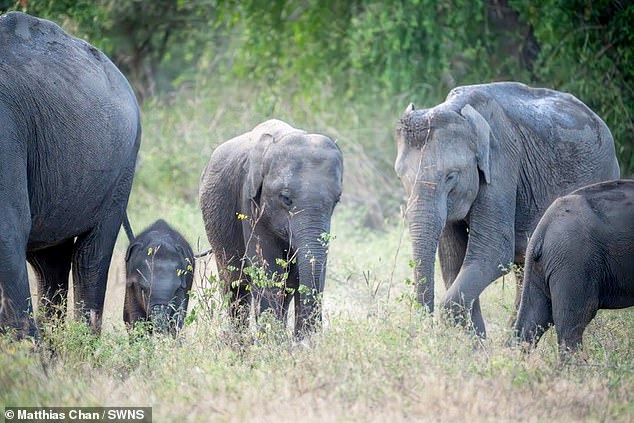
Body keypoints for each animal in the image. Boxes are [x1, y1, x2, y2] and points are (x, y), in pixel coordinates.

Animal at [392, 81, 620, 336]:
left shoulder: (501, 163)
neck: (457, 109)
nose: (425, 330)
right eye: (400, 176)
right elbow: (453, 260)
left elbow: (493, 252)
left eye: (450, 176)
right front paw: (476, 344)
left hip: (605, 172)